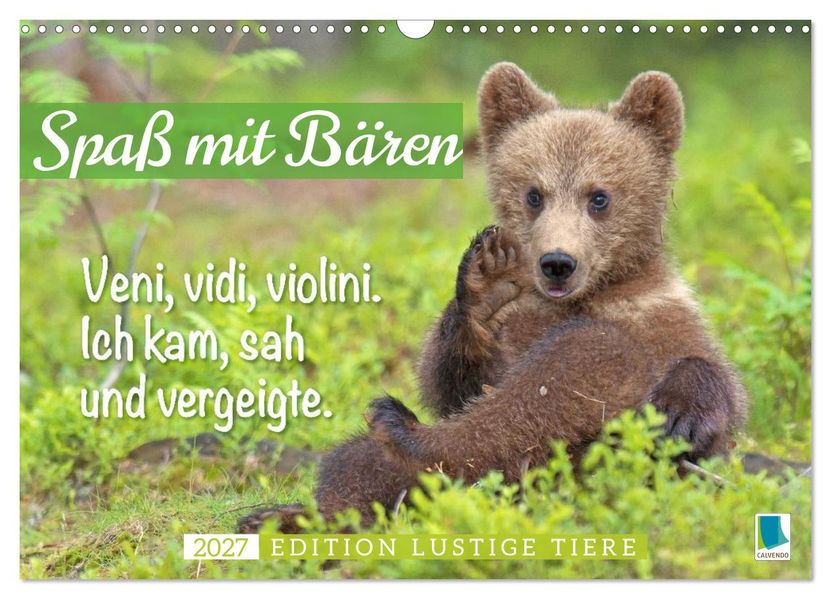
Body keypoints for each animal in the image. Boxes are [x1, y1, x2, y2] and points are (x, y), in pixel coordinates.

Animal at [237, 63, 747, 533]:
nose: (557, 262)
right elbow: (454, 384)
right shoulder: (518, 322)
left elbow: (718, 388)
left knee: (584, 360)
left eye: (599, 196)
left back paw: (403, 433)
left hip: (581, 466)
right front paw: (484, 286)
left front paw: (682, 409)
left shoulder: (659, 312)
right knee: (360, 461)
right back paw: (289, 514)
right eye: (534, 194)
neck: (585, 297)